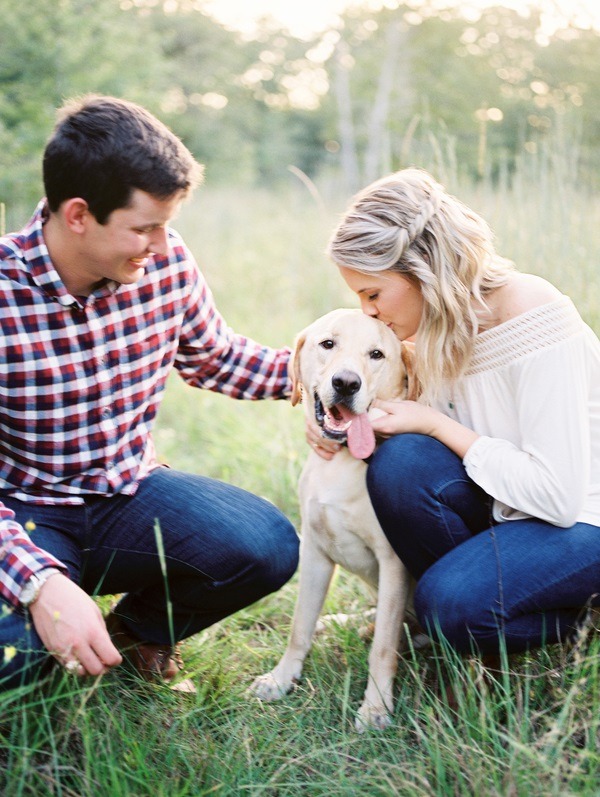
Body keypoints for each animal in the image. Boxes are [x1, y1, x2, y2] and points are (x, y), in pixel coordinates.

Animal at [251, 308, 420, 732]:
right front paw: (282, 678)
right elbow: (300, 627)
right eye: (328, 344)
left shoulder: (393, 564)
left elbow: (383, 649)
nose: (345, 382)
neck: (343, 461)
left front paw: (375, 707)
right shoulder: (314, 552)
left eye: (376, 354)